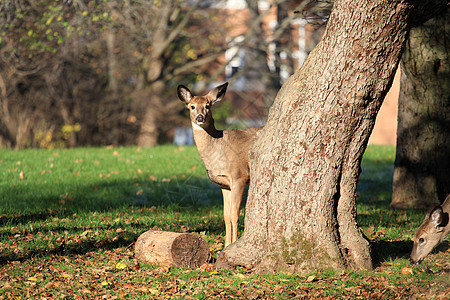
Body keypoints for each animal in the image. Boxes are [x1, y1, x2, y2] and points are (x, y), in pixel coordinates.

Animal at [178, 82, 262, 246]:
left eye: (208, 106)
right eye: (191, 106)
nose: (200, 117)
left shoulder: (239, 177)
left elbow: (235, 214)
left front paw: (233, 244)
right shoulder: (224, 184)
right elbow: (226, 215)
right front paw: (226, 246)